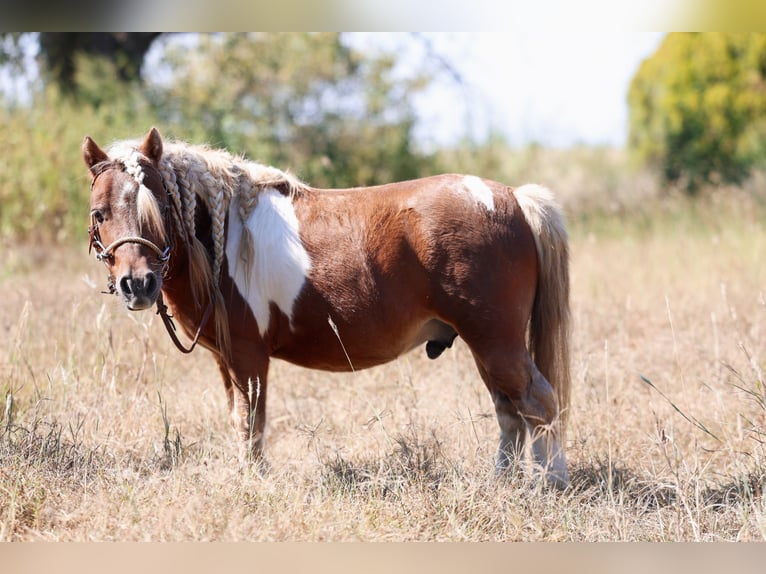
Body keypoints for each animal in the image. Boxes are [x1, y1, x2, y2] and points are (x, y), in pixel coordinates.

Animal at [83, 127, 571, 488]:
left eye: (160, 207)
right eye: (99, 213)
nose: (137, 284)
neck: (225, 238)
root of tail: (512, 197)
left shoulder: (248, 357)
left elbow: (251, 423)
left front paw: (254, 482)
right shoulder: (227, 360)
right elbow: (238, 419)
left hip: (495, 341)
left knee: (539, 402)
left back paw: (549, 484)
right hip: (485, 345)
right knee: (510, 410)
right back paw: (502, 482)